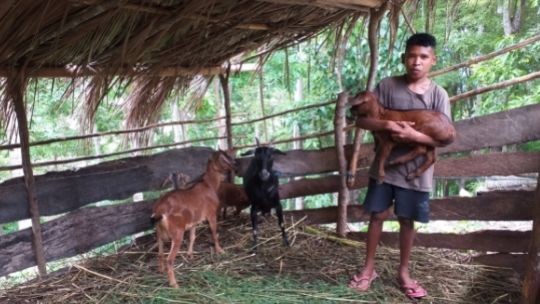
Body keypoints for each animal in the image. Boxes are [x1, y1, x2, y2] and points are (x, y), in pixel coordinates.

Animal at [152, 150, 236, 288]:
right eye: (222, 158)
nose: (235, 164)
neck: (209, 185)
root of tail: (160, 211)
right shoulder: (211, 214)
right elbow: (214, 232)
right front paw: (220, 250)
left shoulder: (193, 222)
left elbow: (192, 237)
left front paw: (190, 255)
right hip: (177, 233)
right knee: (170, 259)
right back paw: (174, 284)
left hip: (159, 233)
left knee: (160, 253)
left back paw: (160, 270)